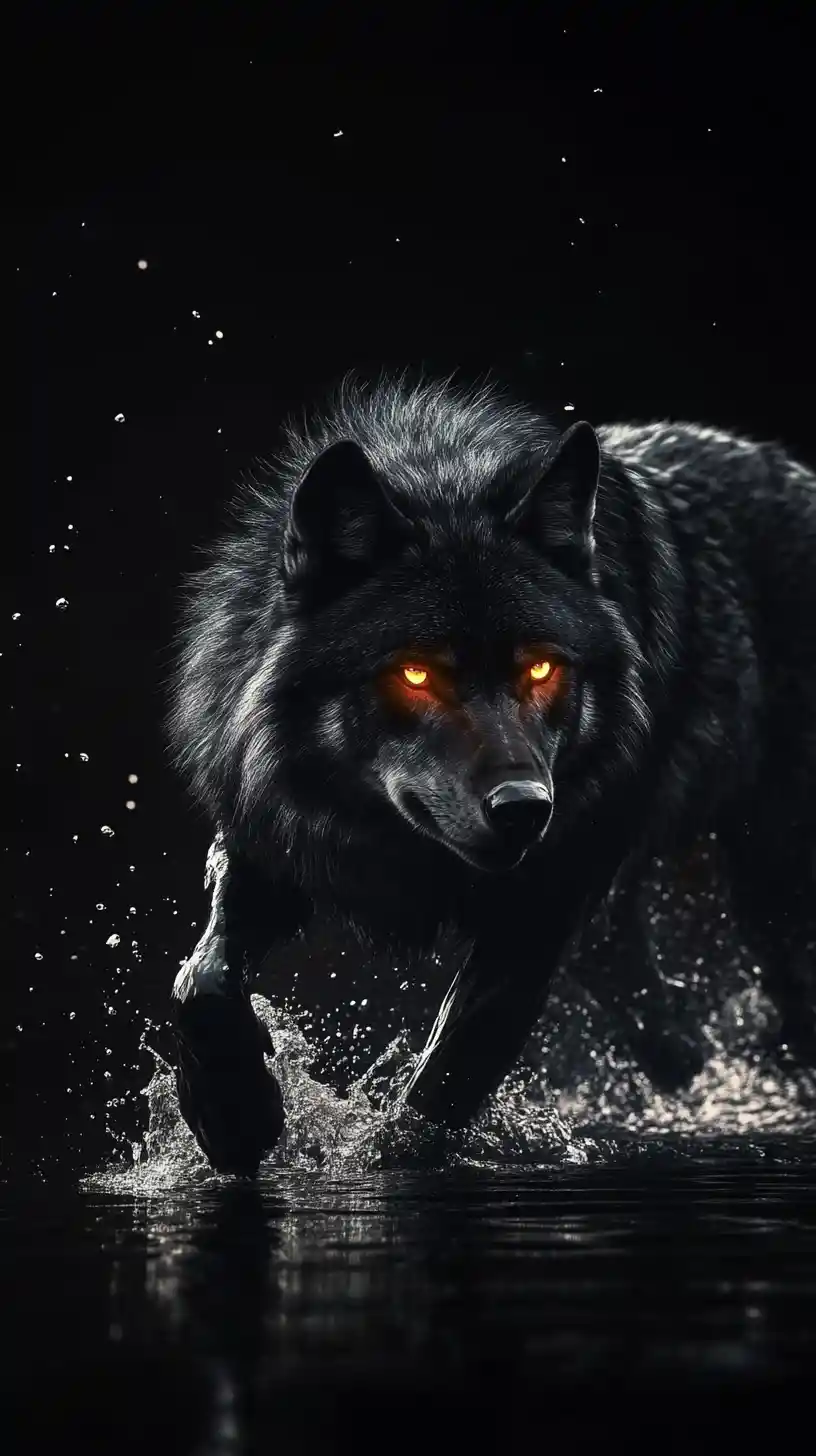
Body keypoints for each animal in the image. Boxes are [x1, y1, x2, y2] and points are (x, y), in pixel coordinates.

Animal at [167, 373, 816, 1175]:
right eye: (416, 673)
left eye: (540, 668)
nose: (524, 807)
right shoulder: (270, 839)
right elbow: (201, 981)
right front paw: (233, 1116)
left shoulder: (534, 914)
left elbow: (437, 1091)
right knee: (649, 1008)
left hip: (773, 894)